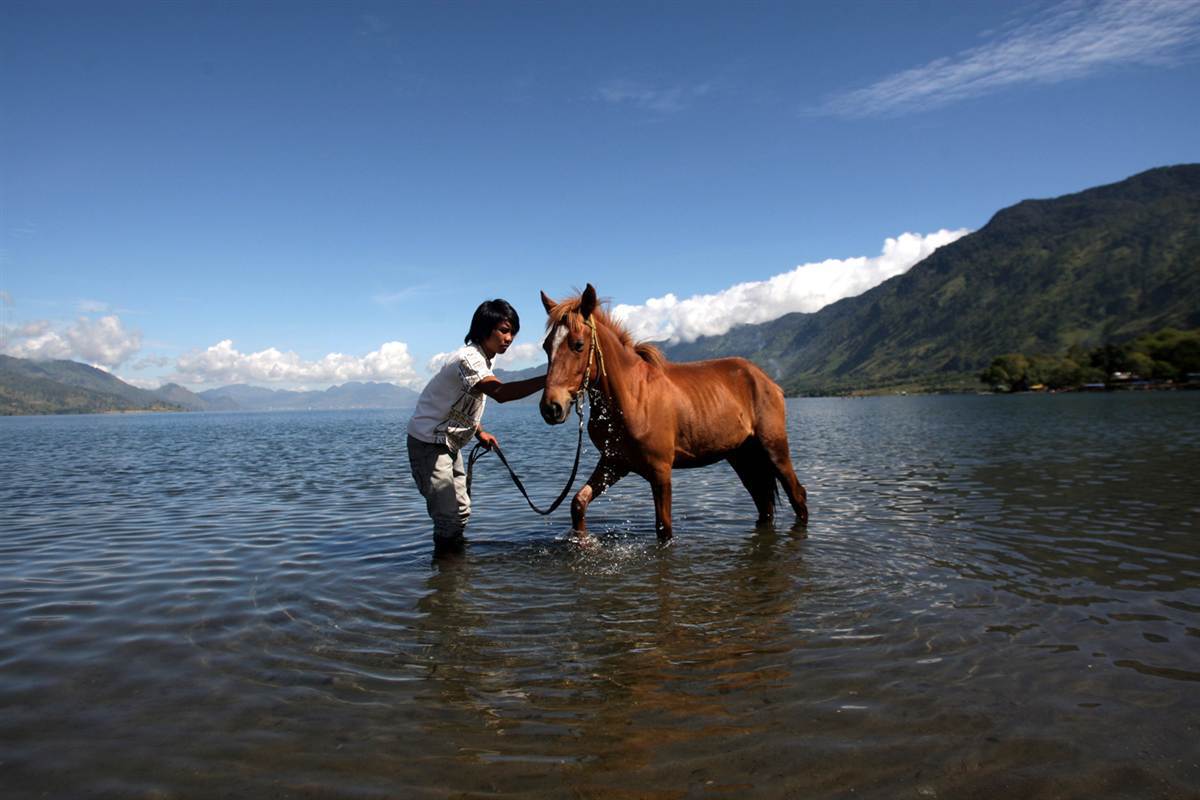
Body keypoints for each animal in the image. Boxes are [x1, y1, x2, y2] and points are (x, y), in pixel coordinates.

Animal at [542, 284, 806, 542]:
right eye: (546, 347)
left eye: (578, 345)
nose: (551, 407)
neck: (632, 397)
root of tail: (766, 380)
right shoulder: (614, 464)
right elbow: (579, 503)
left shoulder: (660, 471)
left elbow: (664, 530)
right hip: (742, 456)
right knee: (764, 505)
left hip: (774, 450)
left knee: (798, 496)